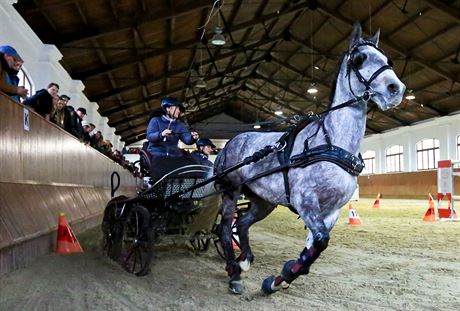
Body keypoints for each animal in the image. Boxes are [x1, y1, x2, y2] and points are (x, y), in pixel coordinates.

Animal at [214, 23, 404, 296]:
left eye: (388, 60)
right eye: (359, 59)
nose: (395, 89)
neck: (332, 142)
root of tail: (230, 143)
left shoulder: (332, 211)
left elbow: (314, 247)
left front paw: (279, 279)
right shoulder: (305, 202)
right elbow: (321, 241)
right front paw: (283, 275)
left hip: (263, 201)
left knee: (243, 224)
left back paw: (246, 260)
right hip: (230, 192)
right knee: (226, 229)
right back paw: (234, 273)